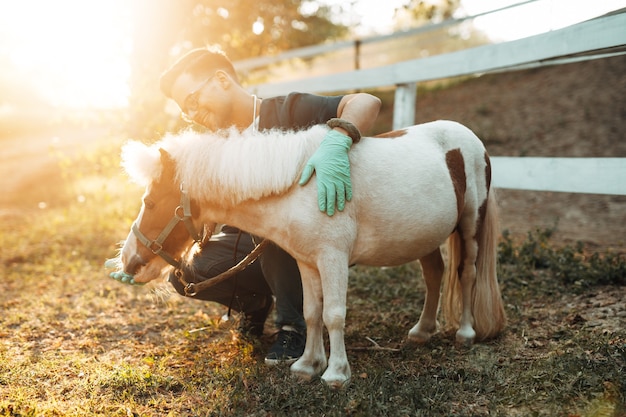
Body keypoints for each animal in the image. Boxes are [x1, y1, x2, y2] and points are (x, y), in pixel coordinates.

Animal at [117, 119, 504, 386]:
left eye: (151, 203)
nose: (129, 261)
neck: (300, 187)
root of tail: (472, 141)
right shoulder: (307, 261)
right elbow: (311, 312)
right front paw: (307, 366)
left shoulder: (333, 259)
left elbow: (333, 314)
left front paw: (336, 374)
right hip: (425, 236)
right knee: (435, 275)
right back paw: (422, 331)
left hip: (470, 226)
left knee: (466, 274)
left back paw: (465, 333)